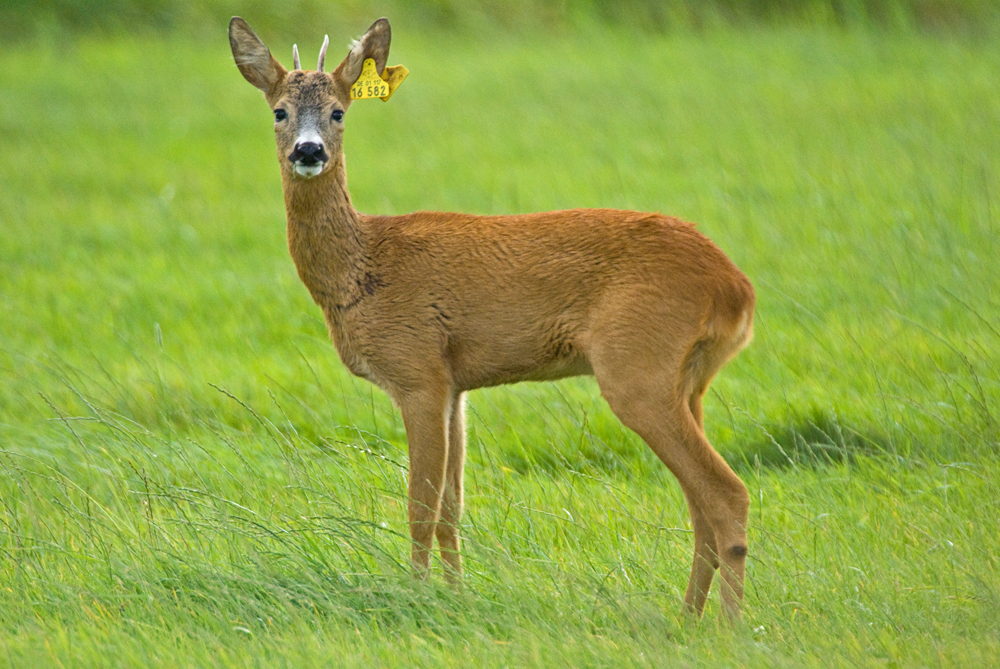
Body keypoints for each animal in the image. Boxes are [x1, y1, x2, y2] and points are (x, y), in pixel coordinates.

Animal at [229, 15, 756, 620]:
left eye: (339, 110)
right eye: (279, 111)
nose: (309, 150)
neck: (361, 268)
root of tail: (736, 289)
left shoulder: (417, 370)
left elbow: (420, 506)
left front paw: (417, 598)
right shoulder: (455, 386)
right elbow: (451, 509)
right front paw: (456, 597)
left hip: (637, 367)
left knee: (726, 492)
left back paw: (728, 628)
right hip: (689, 382)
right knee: (700, 505)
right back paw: (686, 619)